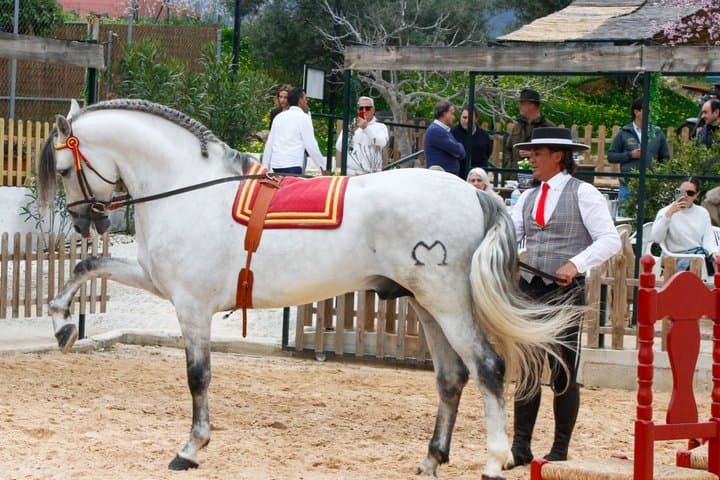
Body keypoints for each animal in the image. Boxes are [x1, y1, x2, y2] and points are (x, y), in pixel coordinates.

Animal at [37, 99, 578, 479]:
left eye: (63, 171)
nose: (85, 220)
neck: (189, 189)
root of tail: (473, 192)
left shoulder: (191, 307)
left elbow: (198, 377)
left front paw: (191, 449)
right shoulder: (156, 282)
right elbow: (90, 264)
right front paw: (62, 322)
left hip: (447, 304)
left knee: (487, 368)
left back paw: (493, 461)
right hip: (427, 306)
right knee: (451, 378)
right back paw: (431, 459)